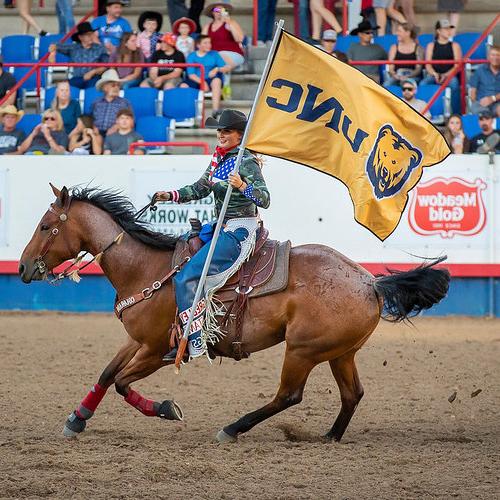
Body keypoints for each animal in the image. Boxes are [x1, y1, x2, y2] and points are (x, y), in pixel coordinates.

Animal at [18, 186, 450, 444]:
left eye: (45, 226)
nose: (22, 267)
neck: (144, 267)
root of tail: (370, 282)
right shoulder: (136, 340)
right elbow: (107, 374)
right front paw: (76, 419)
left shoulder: (156, 349)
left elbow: (123, 383)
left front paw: (166, 409)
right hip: (339, 353)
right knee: (352, 393)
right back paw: (330, 437)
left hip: (303, 350)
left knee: (289, 395)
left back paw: (232, 428)